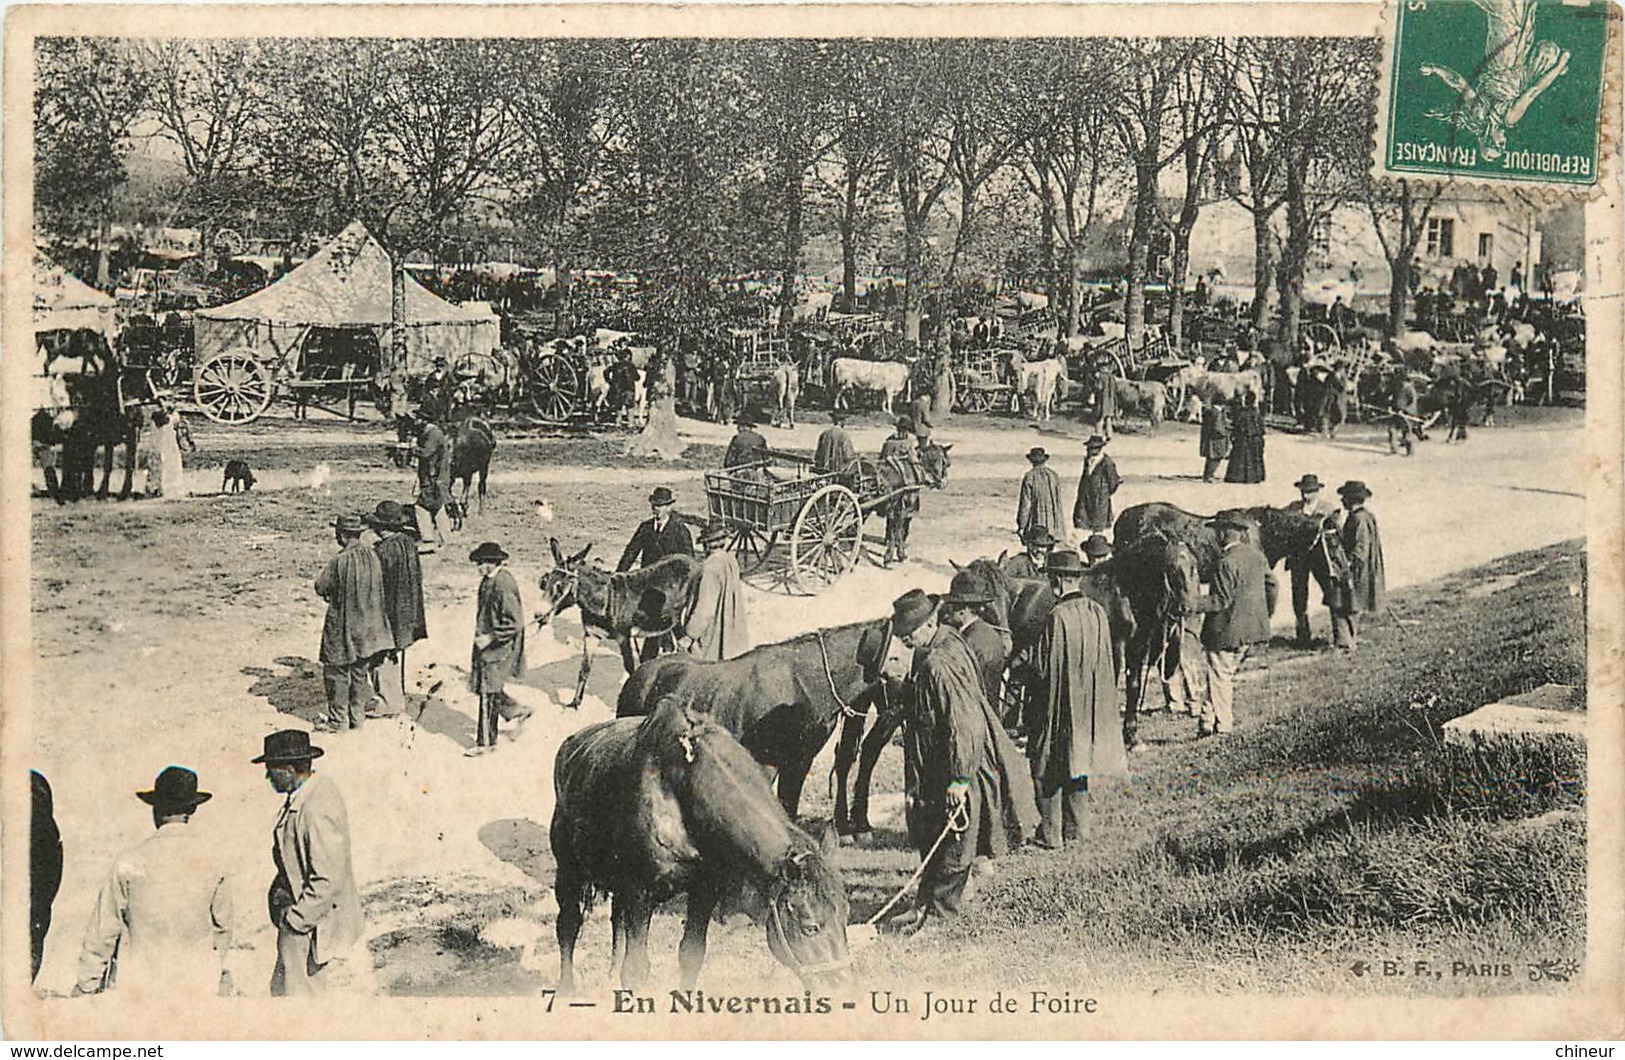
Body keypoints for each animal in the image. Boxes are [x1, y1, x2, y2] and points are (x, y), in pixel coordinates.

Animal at [533, 543, 698, 708]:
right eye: (545, 582)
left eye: (560, 586)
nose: (538, 616)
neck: (606, 599)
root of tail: (689, 559)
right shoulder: (591, 635)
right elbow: (584, 670)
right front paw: (575, 703)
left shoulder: (623, 638)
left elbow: (630, 668)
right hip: (667, 622)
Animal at [552, 699, 851, 988]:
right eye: (810, 927)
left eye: (846, 918)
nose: (841, 983)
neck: (683, 787)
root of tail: (570, 746)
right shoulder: (640, 892)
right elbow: (635, 970)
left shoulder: (704, 890)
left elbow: (691, 954)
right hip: (569, 870)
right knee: (568, 925)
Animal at [611, 617, 897, 816]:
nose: (894, 715)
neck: (802, 683)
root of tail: (638, 675)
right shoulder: (765, 763)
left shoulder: (799, 761)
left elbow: (789, 807)